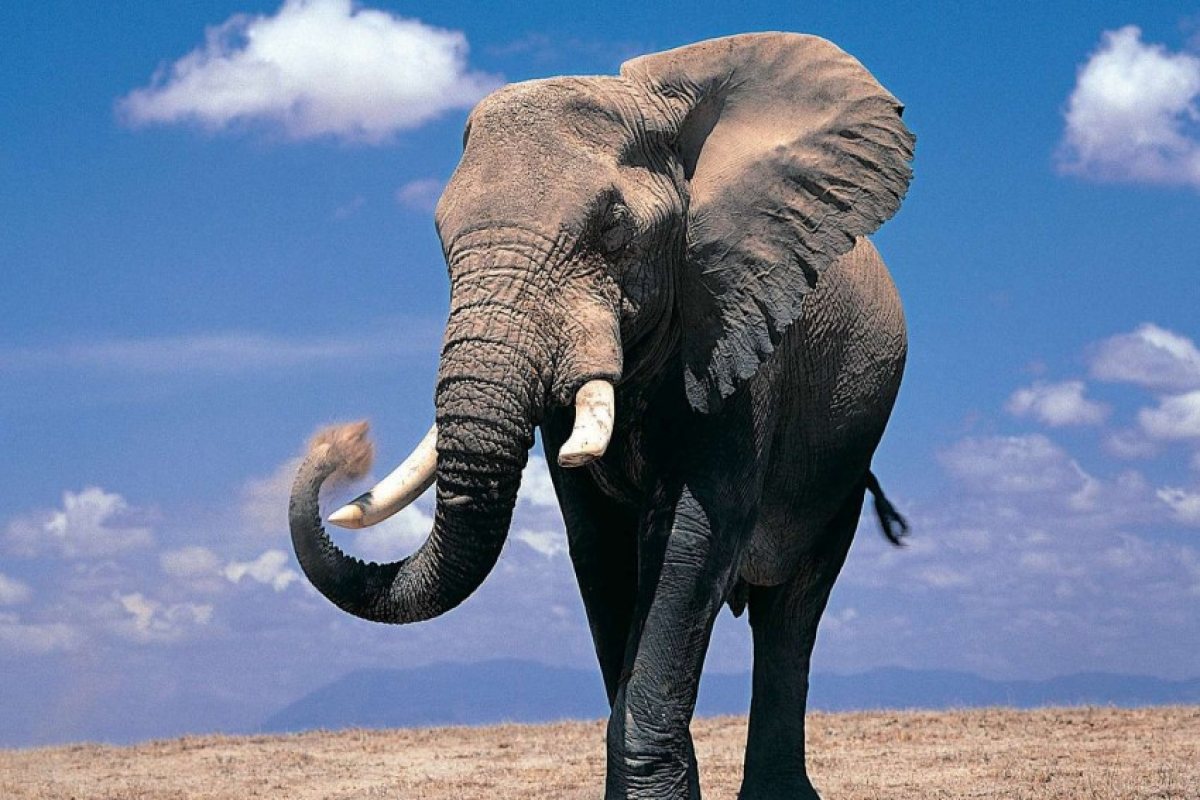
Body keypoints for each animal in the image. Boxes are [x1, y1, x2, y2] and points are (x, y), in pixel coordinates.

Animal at [288, 32, 914, 800]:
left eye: (613, 228)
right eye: (439, 236)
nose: (343, 444)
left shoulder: (739, 323)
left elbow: (691, 536)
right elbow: (600, 548)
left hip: (843, 457)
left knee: (791, 609)